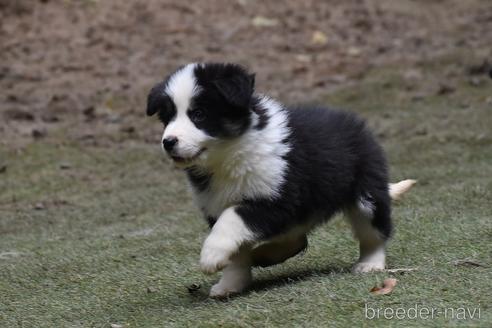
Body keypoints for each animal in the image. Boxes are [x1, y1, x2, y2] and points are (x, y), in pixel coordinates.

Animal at [146, 62, 416, 298]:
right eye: (167, 118)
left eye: (199, 114)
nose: (168, 142)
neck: (230, 154)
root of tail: (357, 124)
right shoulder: (216, 203)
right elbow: (236, 251)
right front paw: (230, 284)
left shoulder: (278, 196)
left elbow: (232, 218)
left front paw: (211, 256)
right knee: (296, 237)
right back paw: (265, 255)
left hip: (366, 194)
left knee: (373, 231)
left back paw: (370, 263)